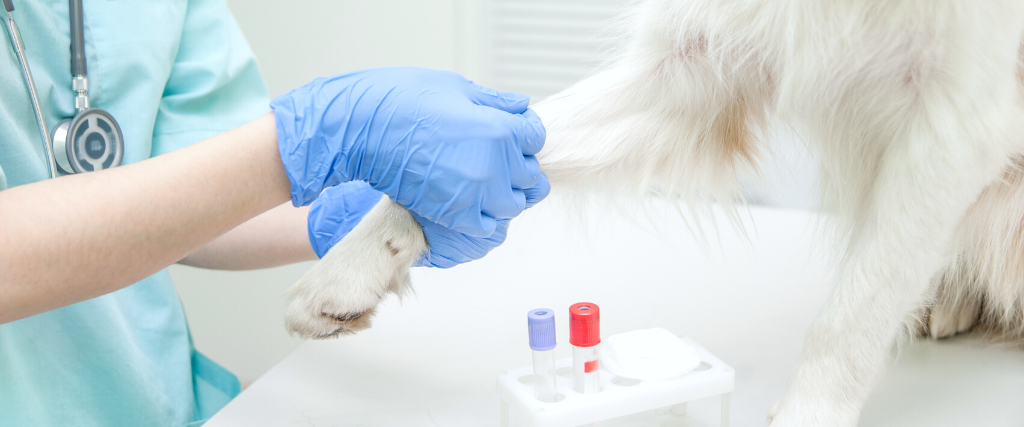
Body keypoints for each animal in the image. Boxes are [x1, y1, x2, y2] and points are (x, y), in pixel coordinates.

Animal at [284, 1, 1024, 423]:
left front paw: (810, 410)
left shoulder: (956, 126)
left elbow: (854, 309)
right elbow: (485, 151)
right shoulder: (691, 71)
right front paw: (343, 273)